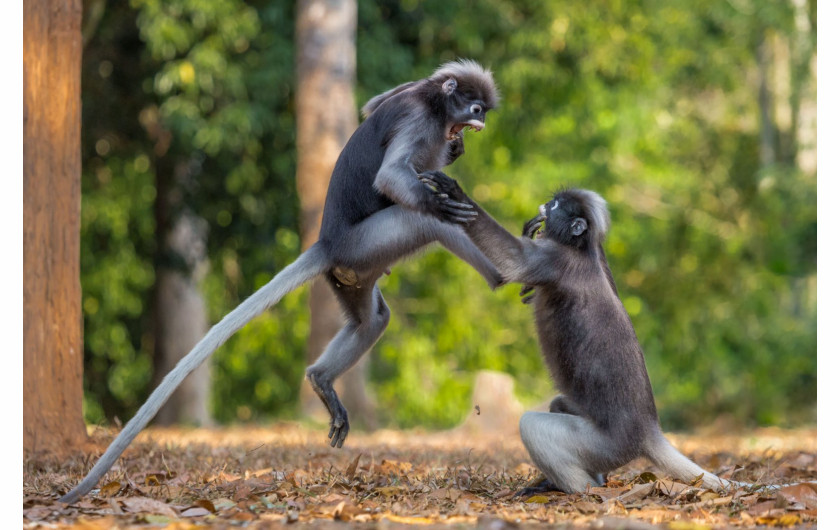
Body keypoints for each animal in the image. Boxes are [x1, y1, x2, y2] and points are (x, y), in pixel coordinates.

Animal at [62, 59, 502, 502]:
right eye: (476, 107)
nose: (480, 121)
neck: (434, 102)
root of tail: (326, 244)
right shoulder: (418, 116)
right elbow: (392, 177)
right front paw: (444, 188)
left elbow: (372, 105)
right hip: (367, 244)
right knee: (423, 221)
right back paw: (499, 275)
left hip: (353, 273)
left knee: (372, 319)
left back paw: (321, 379)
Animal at [420, 172, 780, 490]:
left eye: (555, 205)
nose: (544, 204)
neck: (581, 250)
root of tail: (648, 432)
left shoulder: (555, 260)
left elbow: (513, 260)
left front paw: (456, 193)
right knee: (558, 404)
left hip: (605, 446)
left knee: (532, 425)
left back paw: (578, 491)